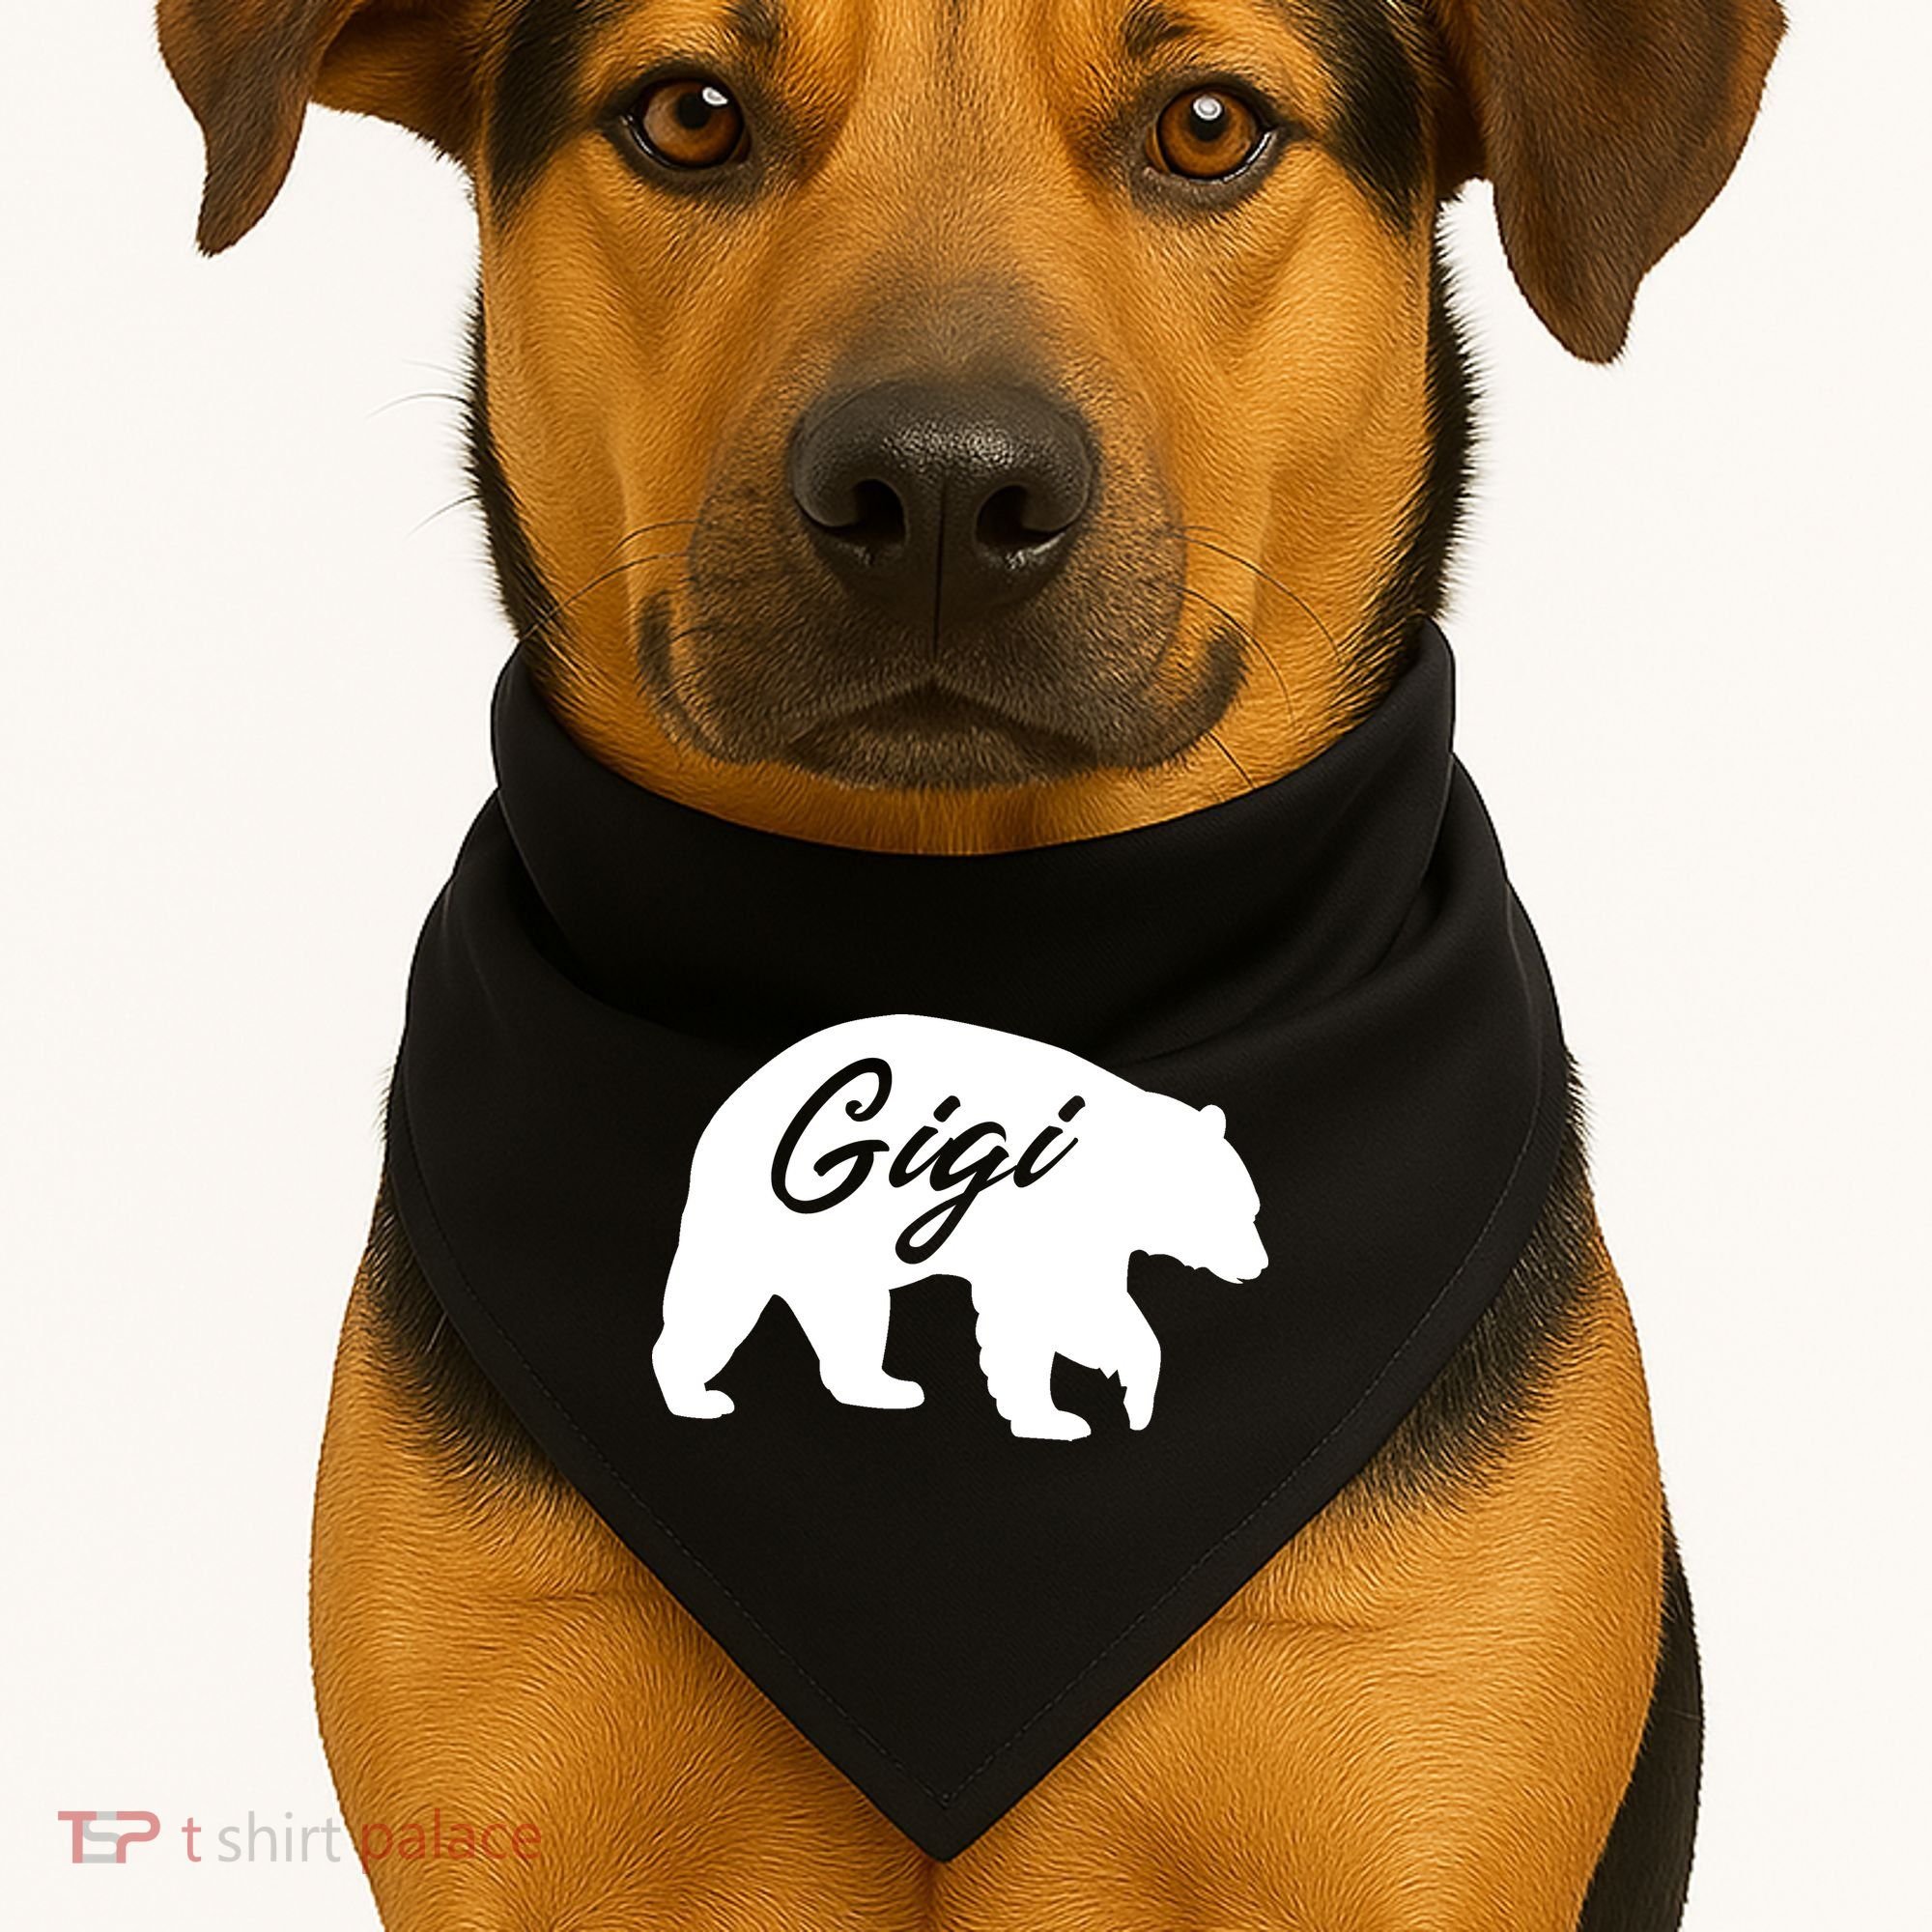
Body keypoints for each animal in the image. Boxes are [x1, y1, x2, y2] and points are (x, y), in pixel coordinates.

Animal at [651, 1013, 1268, 1441]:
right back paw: (696, 1397)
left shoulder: (1090, 1235)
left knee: (851, 1312)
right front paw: (1062, 1416)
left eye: (1253, 1210)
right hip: (772, 1212)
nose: (1259, 1265)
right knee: (720, 1300)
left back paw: (883, 1387)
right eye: (1237, 1211)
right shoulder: (1041, 1210)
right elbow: (1046, 1309)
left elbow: (1085, 1305)